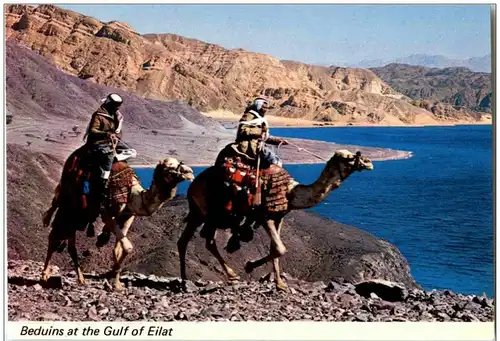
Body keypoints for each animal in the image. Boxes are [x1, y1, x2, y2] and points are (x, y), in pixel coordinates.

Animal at [41, 146, 194, 290]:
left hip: (77, 215)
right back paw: (45, 275)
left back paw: (81, 279)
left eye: (180, 162)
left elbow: (118, 249)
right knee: (54, 237)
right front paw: (115, 282)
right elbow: (128, 247)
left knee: (70, 245)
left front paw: (116, 280)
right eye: (170, 166)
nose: (190, 173)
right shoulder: (107, 214)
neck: (133, 195)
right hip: (67, 207)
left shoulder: (128, 216)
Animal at [178, 148, 374, 290]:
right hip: (206, 213)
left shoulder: (280, 218)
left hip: (204, 214)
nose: (369, 163)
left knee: (195, 241)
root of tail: (193, 184)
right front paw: (250, 266)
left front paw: (280, 284)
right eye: (349, 157)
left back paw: (191, 278)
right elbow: (280, 248)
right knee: (200, 240)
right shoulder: (266, 217)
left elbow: (276, 248)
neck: (290, 191)